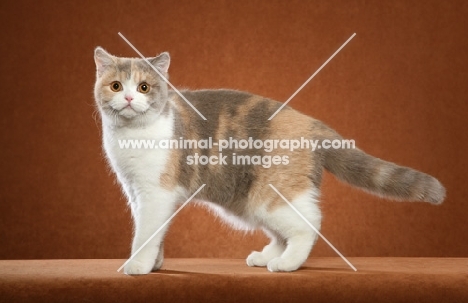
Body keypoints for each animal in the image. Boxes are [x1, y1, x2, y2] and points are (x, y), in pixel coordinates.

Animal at [92, 47, 446, 276]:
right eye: (116, 86)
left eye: (144, 87)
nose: (128, 98)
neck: (131, 136)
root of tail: (312, 123)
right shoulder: (136, 194)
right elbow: (155, 232)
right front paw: (154, 264)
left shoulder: (156, 193)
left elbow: (145, 233)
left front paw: (138, 266)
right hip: (250, 200)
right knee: (283, 231)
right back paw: (268, 256)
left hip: (270, 195)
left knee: (309, 223)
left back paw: (287, 263)